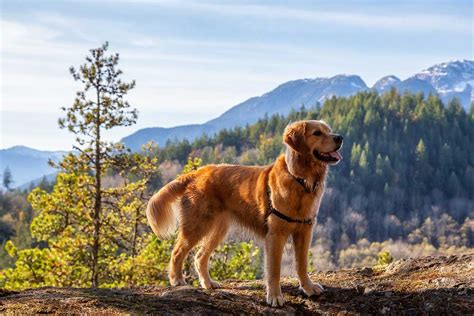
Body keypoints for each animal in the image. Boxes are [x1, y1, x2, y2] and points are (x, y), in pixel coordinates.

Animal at [146, 120, 342, 306]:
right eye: (317, 133)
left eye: (329, 130)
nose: (339, 138)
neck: (300, 179)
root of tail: (197, 172)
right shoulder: (275, 234)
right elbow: (274, 270)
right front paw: (275, 297)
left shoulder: (304, 231)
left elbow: (302, 264)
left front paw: (308, 287)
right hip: (197, 226)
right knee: (177, 252)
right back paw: (177, 280)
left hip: (219, 229)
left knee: (200, 256)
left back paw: (208, 283)